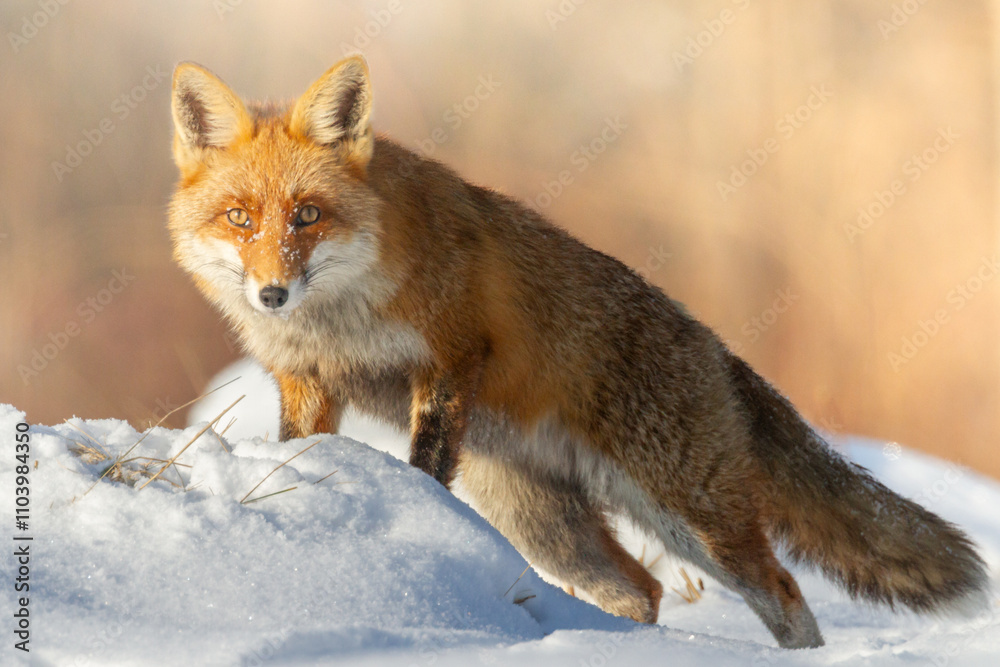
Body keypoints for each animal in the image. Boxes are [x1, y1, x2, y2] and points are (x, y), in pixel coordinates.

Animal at [167, 56, 990, 648]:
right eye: (240, 218)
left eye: (307, 216)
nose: (272, 294)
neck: (340, 317)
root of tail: (717, 348)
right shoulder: (307, 381)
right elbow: (297, 448)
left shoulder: (452, 358)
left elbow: (425, 465)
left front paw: (418, 512)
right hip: (544, 524)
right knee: (640, 588)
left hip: (690, 517)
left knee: (783, 591)